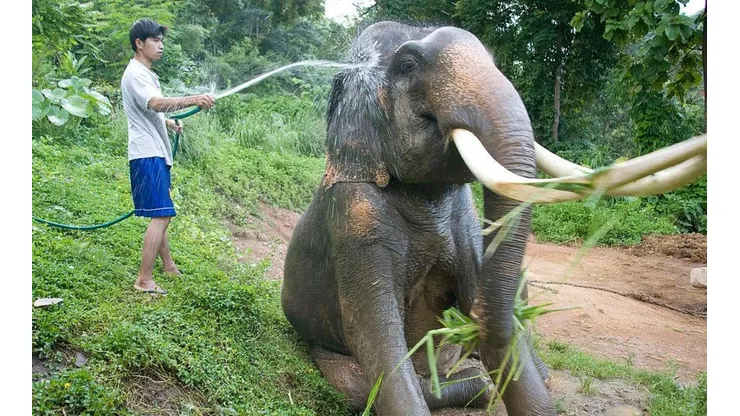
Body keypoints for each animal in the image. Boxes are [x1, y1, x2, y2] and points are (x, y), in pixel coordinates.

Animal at [281, 21, 707, 416]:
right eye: (407, 65)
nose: (473, 319)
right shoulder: (355, 217)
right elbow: (375, 337)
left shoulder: (466, 221)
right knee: (357, 390)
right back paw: (476, 381)